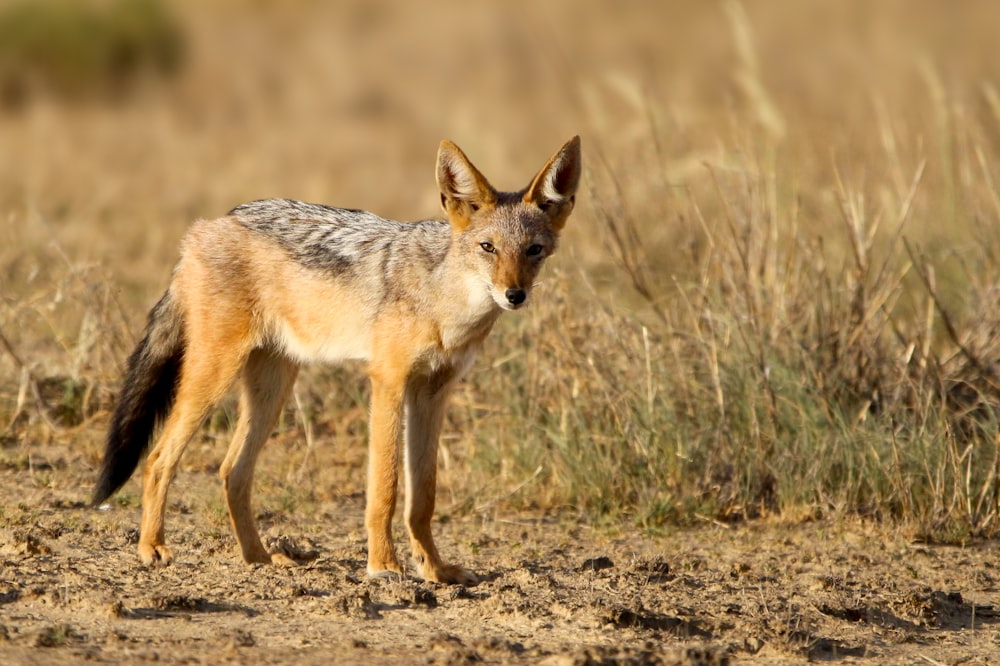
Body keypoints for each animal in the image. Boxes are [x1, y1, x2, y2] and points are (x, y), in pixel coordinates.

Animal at [94, 135, 584, 580]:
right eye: (488, 248)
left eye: (533, 250)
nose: (515, 295)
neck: (445, 307)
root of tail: (209, 225)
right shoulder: (388, 381)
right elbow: (385, 489)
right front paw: (384, 566)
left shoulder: (432, 392)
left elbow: (423, 497)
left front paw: (435, 570)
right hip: (213, 377)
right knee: (159, 459)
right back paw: (153, 548)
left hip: (271, 392)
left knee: (232, 472)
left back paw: (259, 560)